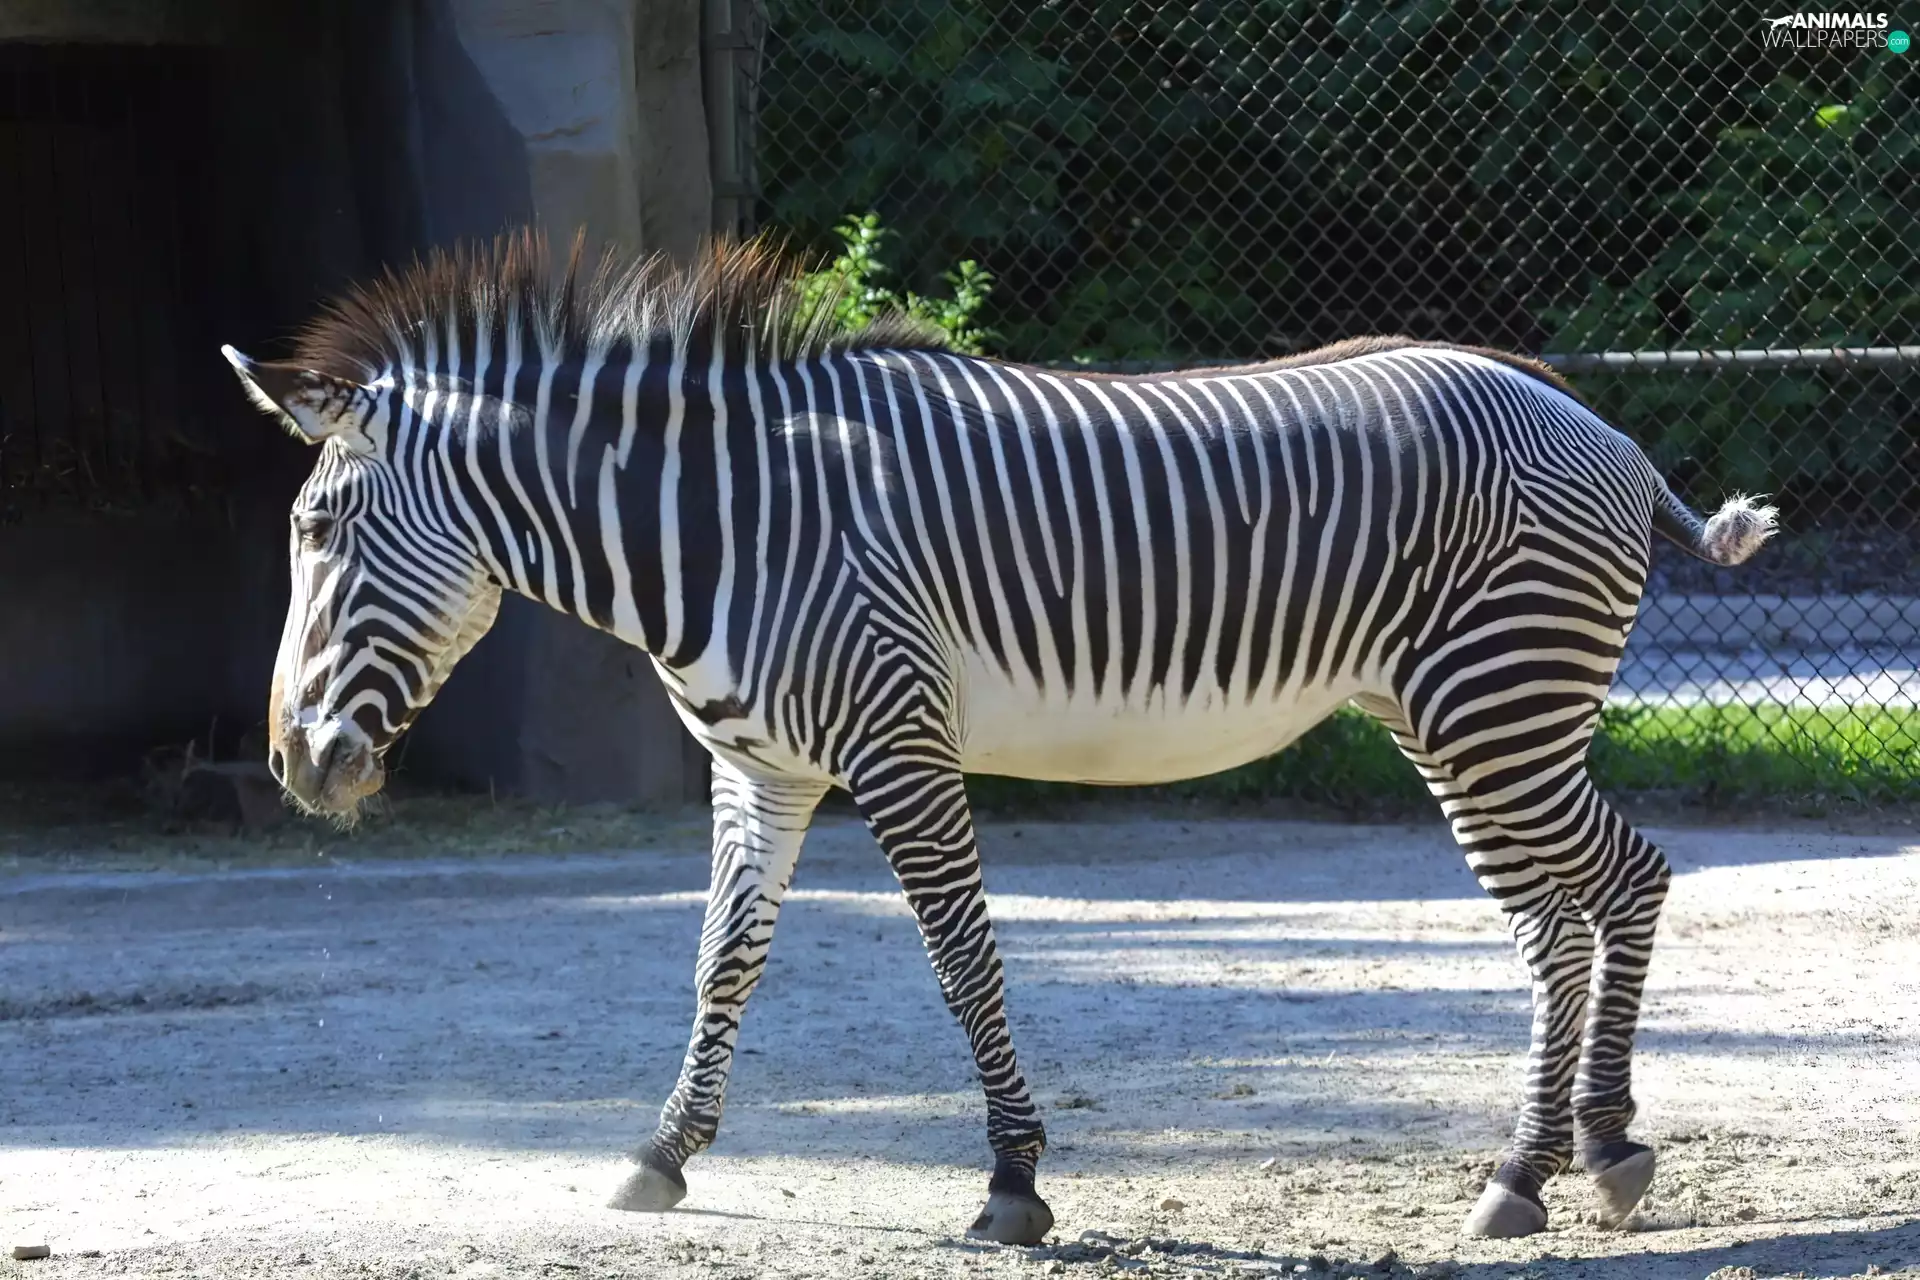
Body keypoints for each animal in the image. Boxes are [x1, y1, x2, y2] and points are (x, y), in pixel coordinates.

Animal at [223, 232, 1775, 1245]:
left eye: (315, 529)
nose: (292, 766)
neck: (722, 528)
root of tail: (1596, 422)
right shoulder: (760, 768)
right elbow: (723, 958)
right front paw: (663, 1150)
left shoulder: (901, 745)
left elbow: (965, 962)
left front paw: (1015, 1182)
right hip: (1454, 717)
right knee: (1572, 909)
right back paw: (1560, 1160)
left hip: (1497, 701)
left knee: (1610, 890)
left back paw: (1567, 1159)